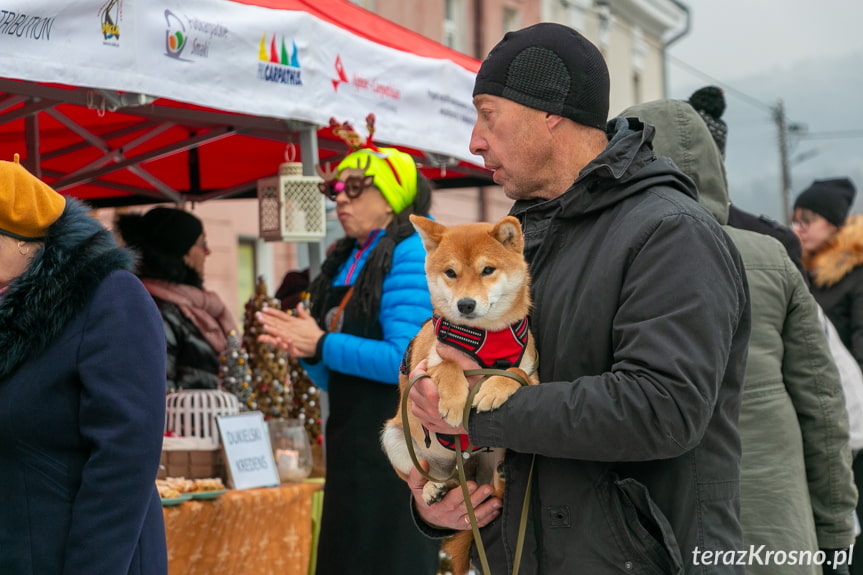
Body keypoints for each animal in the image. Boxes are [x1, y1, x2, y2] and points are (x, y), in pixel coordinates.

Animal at [382, 215, 536, 575]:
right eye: (450, 273)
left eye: (487, 270)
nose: (466, 304)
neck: (487, 336)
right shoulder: (425, 366)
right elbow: (449, 365)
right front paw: (453, 402)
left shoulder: (535, 376)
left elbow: (517, 373)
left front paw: (493, 389)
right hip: (396, 438)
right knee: (431, 476)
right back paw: (433, 489)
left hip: (495, 455)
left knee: (493, 490)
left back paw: (501, 476)